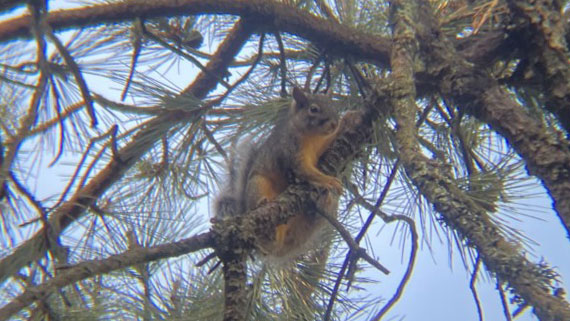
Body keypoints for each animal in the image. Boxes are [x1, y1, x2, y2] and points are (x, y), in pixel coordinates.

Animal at [214, 87, 344, 260]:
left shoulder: (325, 144)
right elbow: (305, 171)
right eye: (313, 109)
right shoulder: (290, 150)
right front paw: (329, 180)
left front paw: (351, 117)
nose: (335, 123)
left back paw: (324, 201)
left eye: (334, 105)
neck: (313, 137)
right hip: (258, 184)